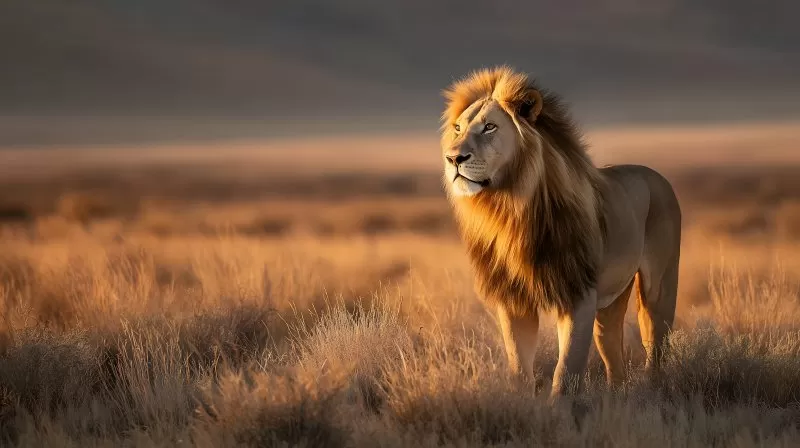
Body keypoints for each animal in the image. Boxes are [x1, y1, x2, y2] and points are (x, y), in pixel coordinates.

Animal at [439, 66, 681, 397]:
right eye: (458, 128)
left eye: (489, 127)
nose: (453, 158)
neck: (510, 210)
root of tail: (655, 174)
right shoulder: (514, 299)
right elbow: (519, 365)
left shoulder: (577, 293)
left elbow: (566, 370)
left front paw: (559, 406)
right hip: (611, 300)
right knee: (611, 348)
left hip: (659, 286)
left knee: (656, 342)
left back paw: (652, 389)